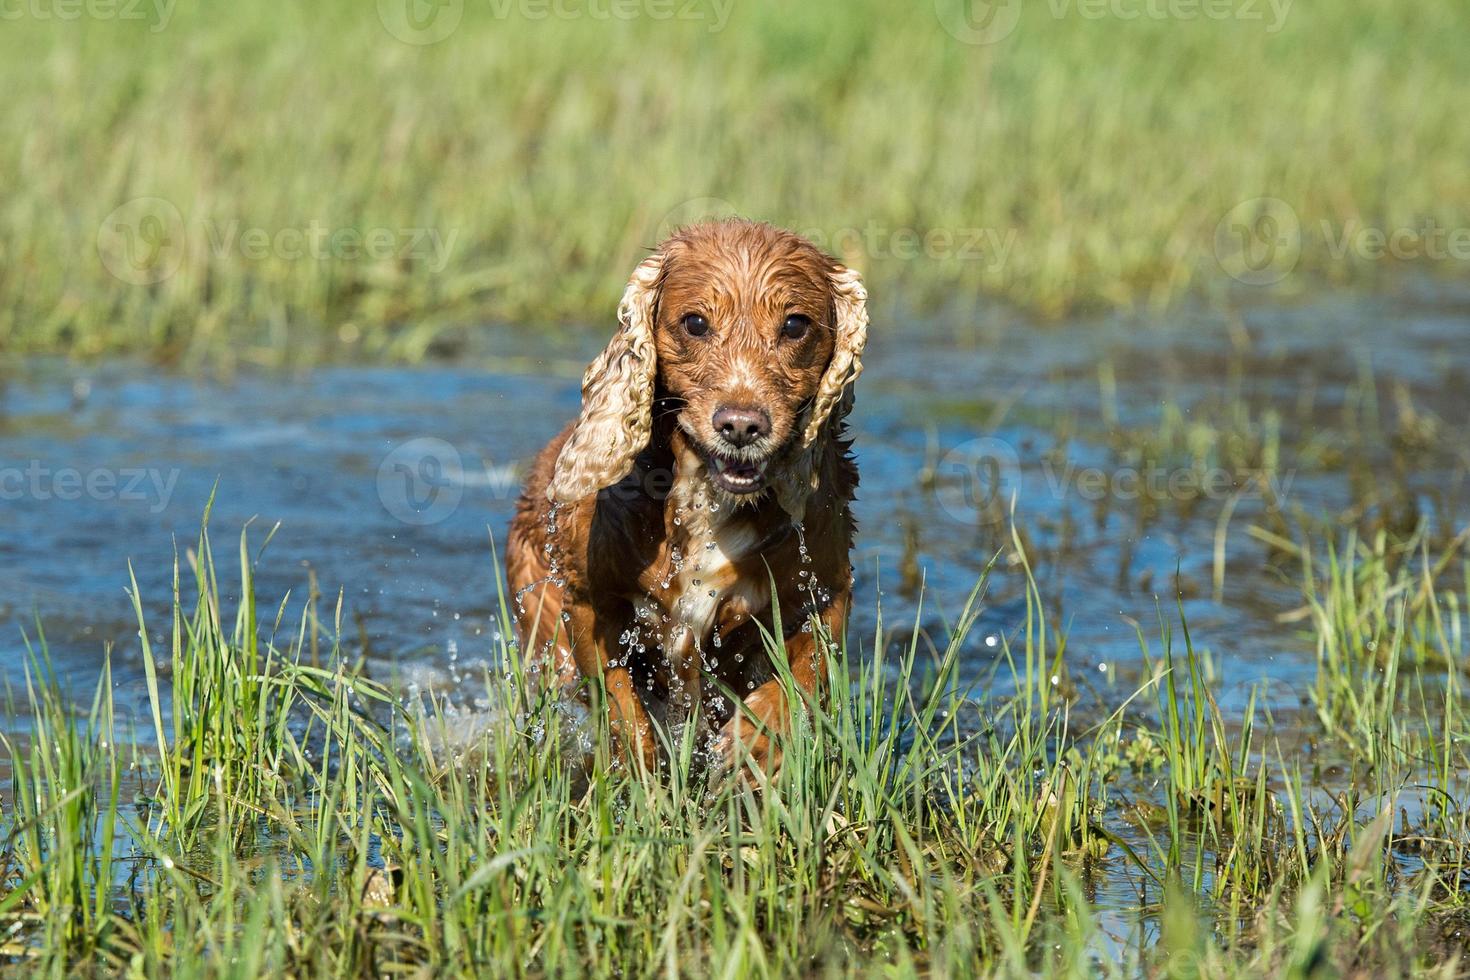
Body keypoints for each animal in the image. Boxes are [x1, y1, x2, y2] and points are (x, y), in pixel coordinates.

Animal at [511, 220, 864, 775]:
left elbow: (806, 674)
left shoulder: (826, 589)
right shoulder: (590, 603)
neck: (708, 500)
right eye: (695, 323)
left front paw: (753, 744)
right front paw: (643, 779)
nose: (741, 424)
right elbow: (621, 709)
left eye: (795, 325)